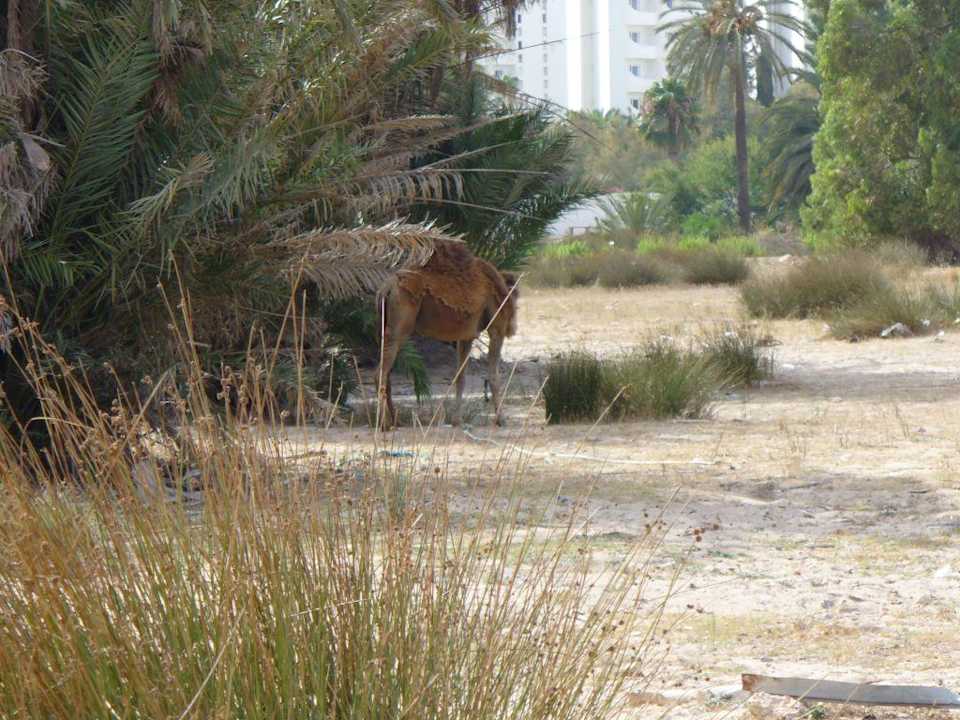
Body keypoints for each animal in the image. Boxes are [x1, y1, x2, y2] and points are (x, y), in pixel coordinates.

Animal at [376, 240, 519, 429]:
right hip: (400, 324)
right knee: (381, 372)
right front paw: (501, 419)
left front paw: (457, 421)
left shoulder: (466, 335)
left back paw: (394, 421)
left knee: (387, 372)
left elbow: (460, 377)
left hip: (384, 324)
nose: (514, 326)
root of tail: (386, 288)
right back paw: (383, 424)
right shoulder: (497, 328)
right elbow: (493, 376)